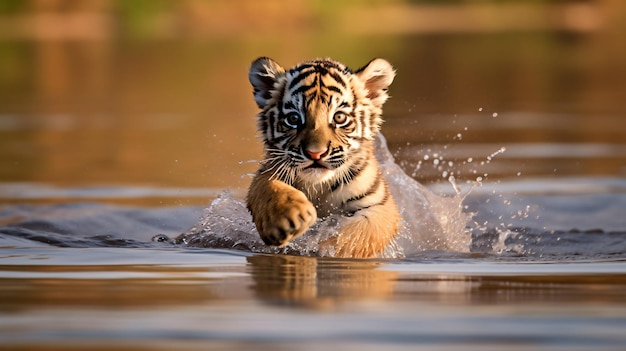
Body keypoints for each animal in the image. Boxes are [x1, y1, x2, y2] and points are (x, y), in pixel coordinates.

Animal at [245, 57, 400, 258]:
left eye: (339, 117)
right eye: (294, 119)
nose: (315, 153)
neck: (317, 186)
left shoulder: (379, 204)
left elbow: (358, 233)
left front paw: (323, 248)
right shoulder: (269, 170)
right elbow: (267, 186)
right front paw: (290, 218)